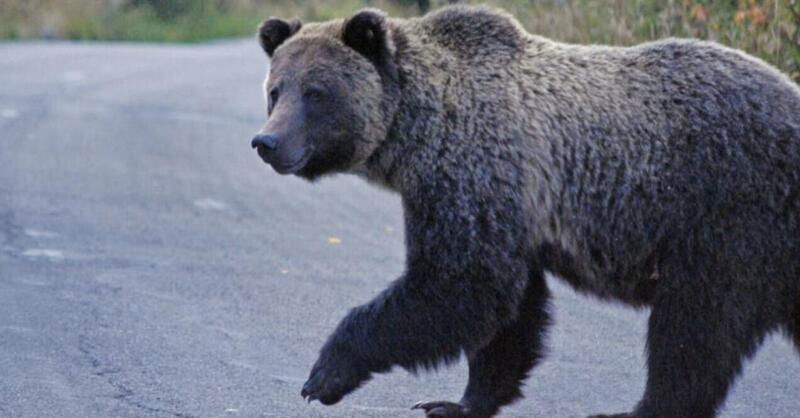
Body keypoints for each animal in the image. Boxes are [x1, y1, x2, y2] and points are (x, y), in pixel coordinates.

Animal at [248, 4, 800, 418]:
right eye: (275, 89)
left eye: (316, 92)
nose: (267, 142)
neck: (416, 132)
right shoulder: (510, 211)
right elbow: (509, 315)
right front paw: (457, 402)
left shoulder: (473, 171)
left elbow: (459, 282)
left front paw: (327, 372)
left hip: (727, 212)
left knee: (694, 325)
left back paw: (641, 409)